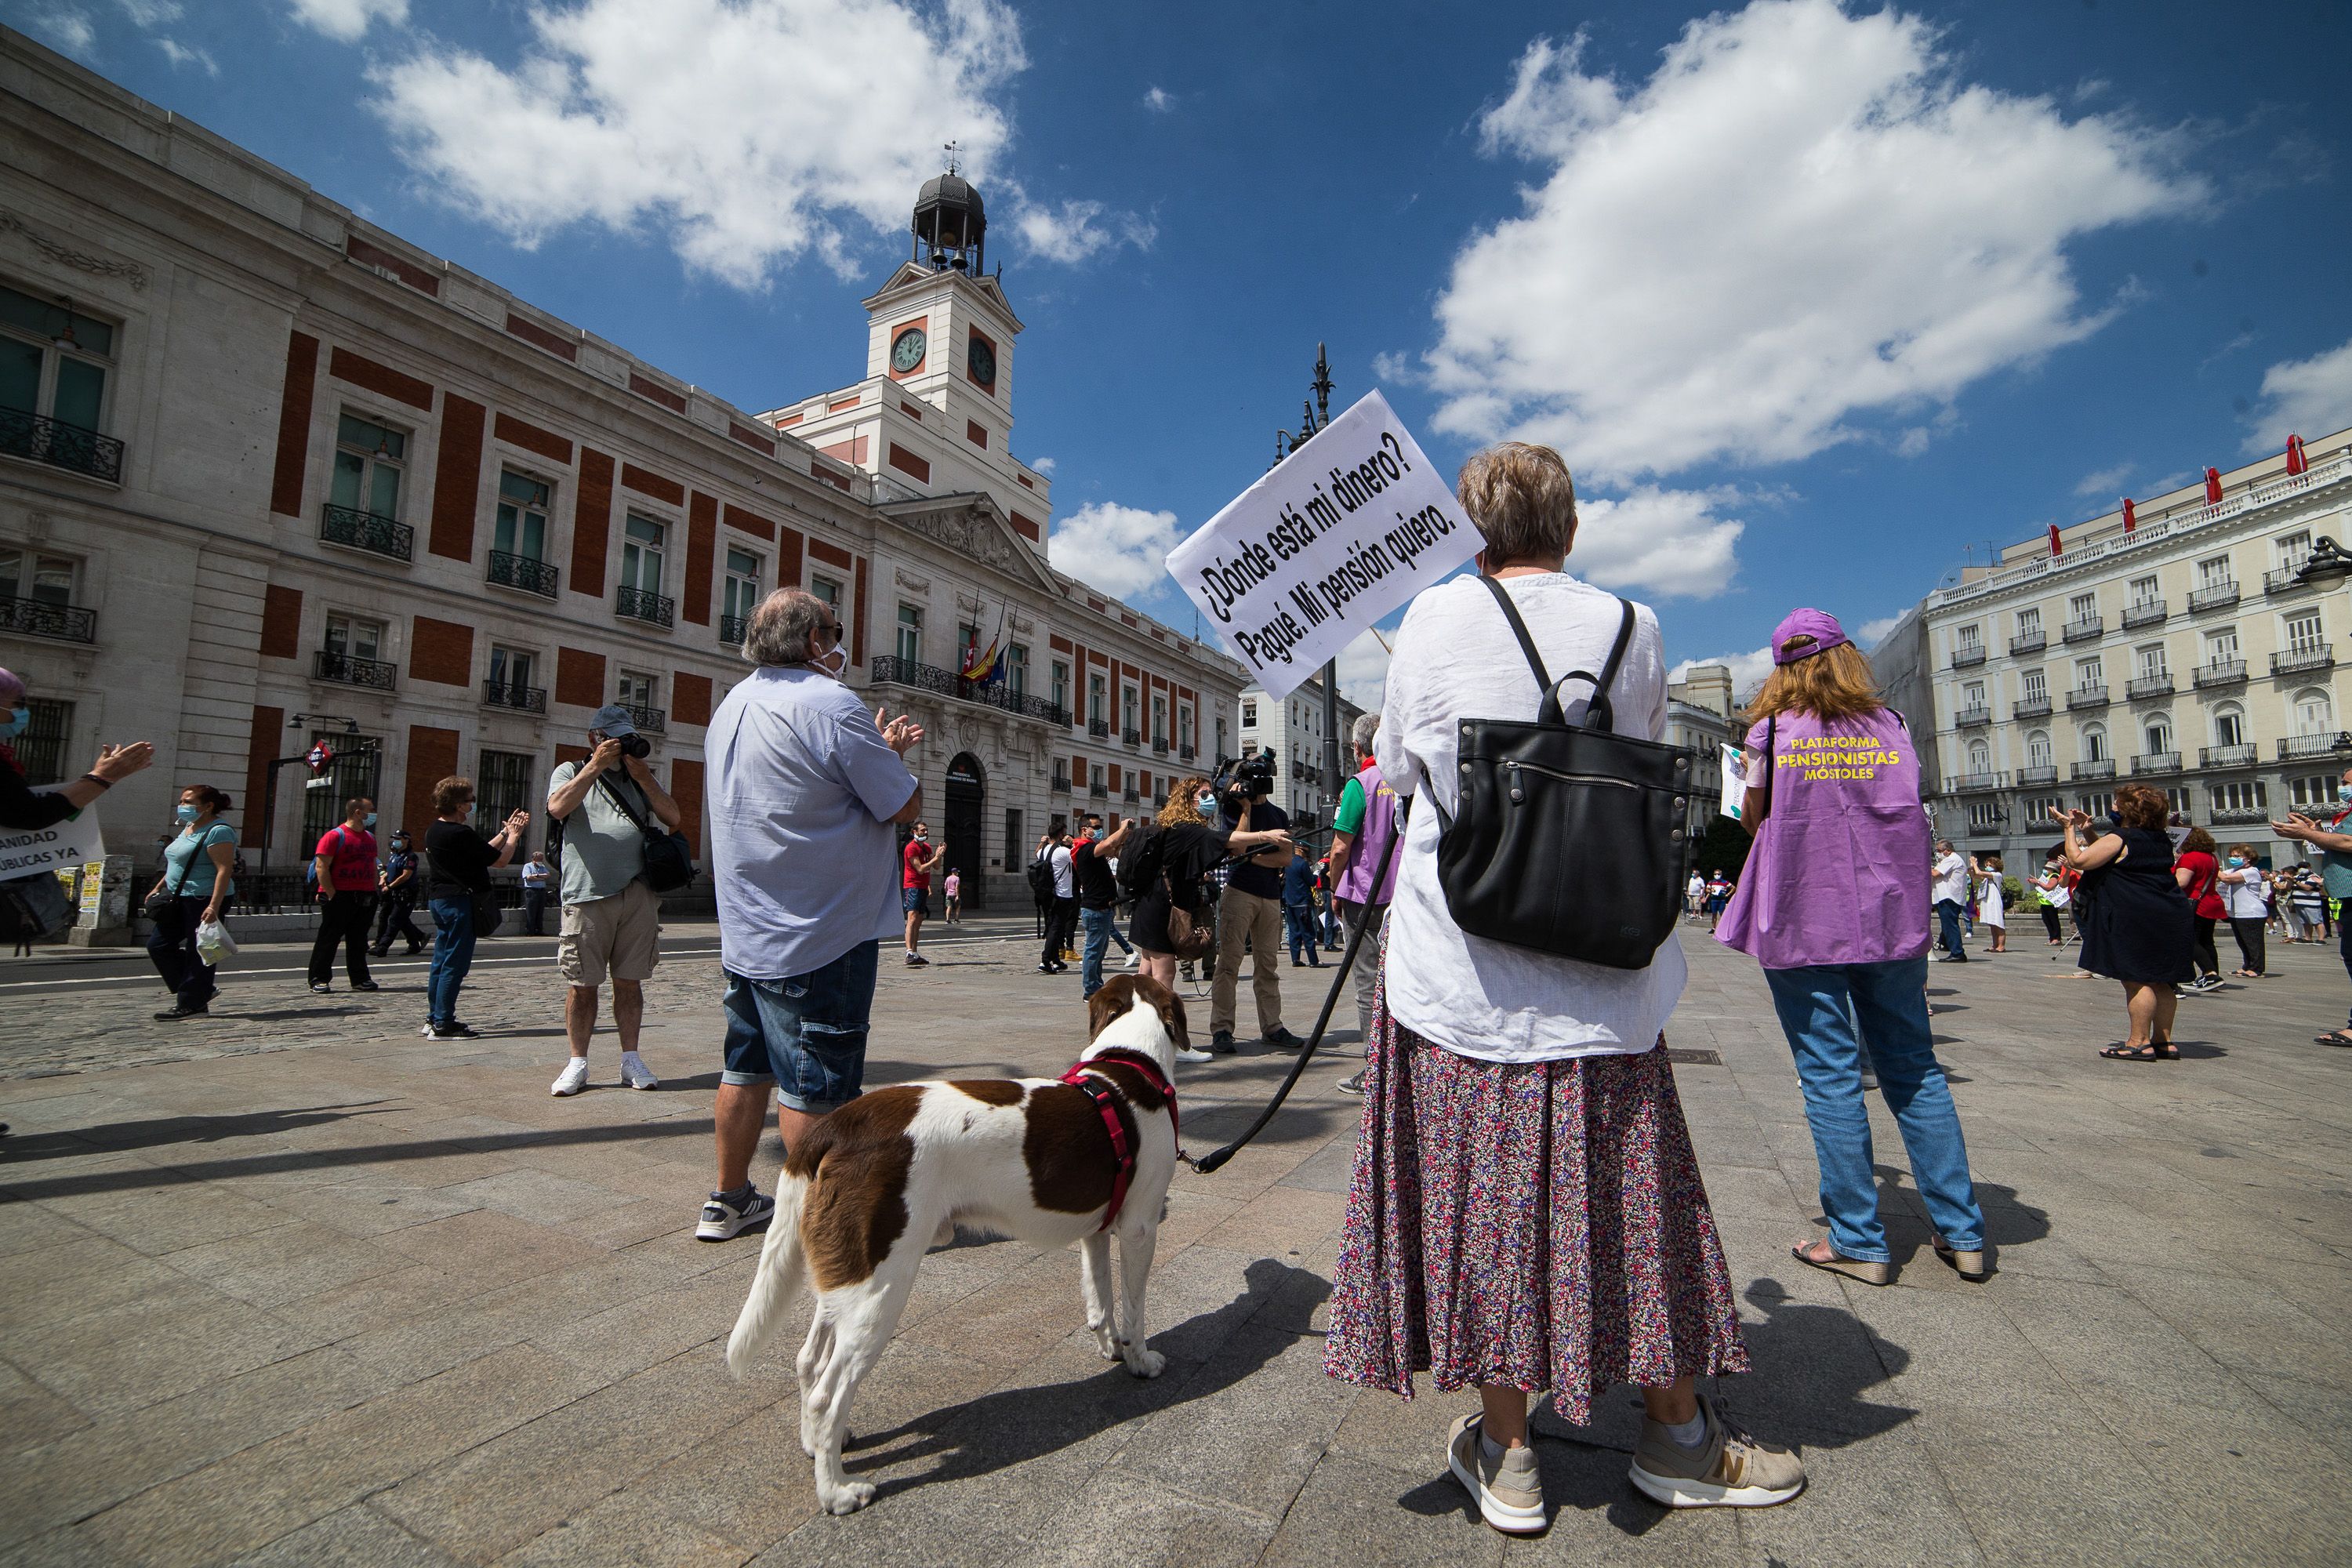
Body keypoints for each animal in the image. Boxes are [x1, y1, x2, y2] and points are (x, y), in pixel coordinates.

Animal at [724, 973, 1185, 1514]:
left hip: (849, 1272)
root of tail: (834, 1126)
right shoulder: (1138, 1229)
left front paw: (1111, 1347)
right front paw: (1140, 1361)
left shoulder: (1095, 1230)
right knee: (827, 1393)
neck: (1129, 1062)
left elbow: (1101, 1301)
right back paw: (837, 1490)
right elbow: (1134, 1309)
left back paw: (820, 1445)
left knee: (808, 1363)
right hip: (881, 1289)